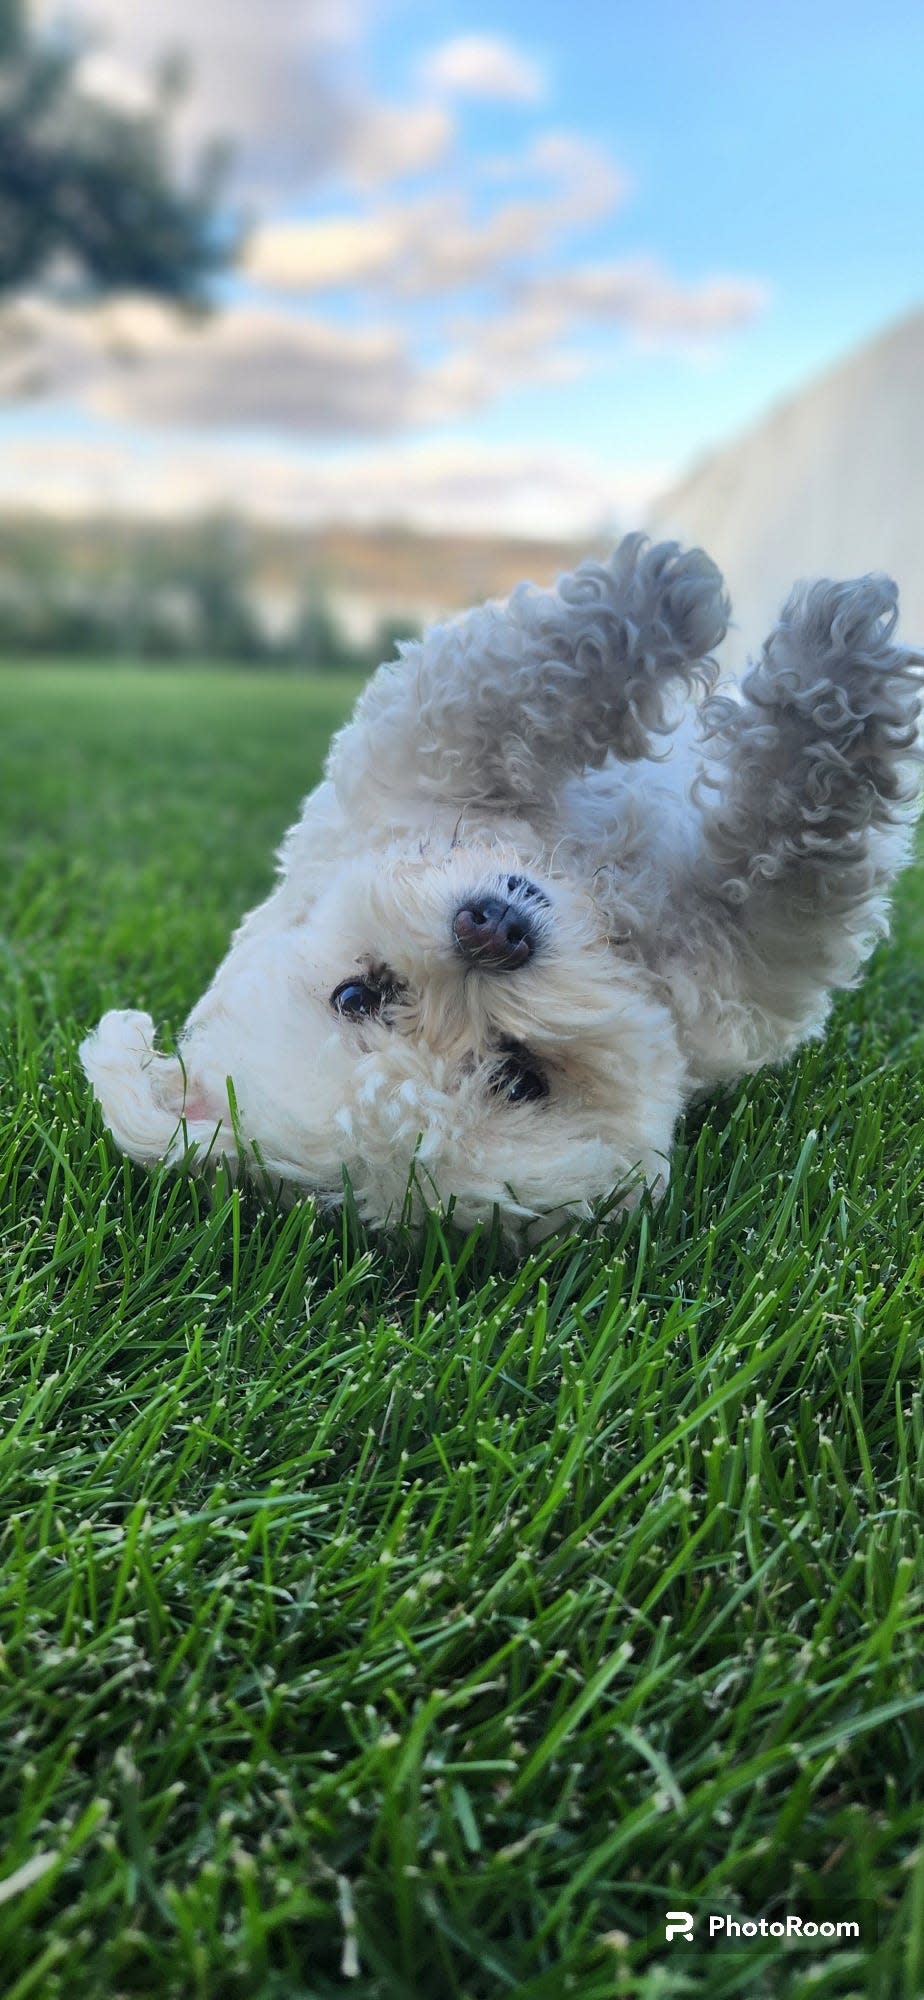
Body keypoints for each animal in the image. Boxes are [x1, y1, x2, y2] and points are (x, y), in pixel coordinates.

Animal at [83, 540, 920, 1240]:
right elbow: (795, 852)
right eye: (521, 1078)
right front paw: (707, 605)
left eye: (356, 995)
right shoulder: (754, 969)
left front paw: (669, 608)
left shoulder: (399, 767)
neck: (586, 883)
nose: (491, 931)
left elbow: (509, 688)